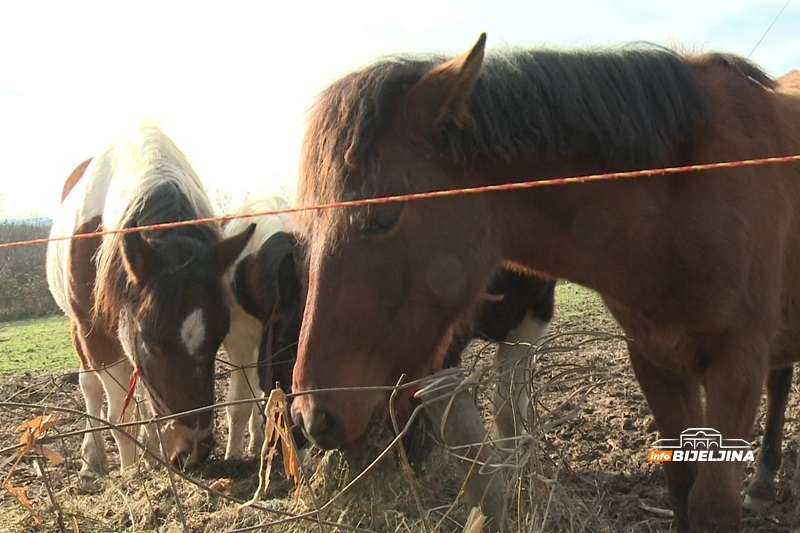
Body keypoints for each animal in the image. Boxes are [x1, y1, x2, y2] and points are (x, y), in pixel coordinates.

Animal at [47, 122, 253, 488]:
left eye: (217, 341)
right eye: (151, 344)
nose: (194, 452)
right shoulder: (98, 337)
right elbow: (119, 417)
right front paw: (130, 475)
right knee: (90, 388)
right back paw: (92, 461)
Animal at [290, 34, 800, 532]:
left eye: (384, 215)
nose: (313, 414)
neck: (685, 193)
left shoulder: (737, 363)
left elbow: (712, 507)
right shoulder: (657, 362)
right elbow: (681, 490)